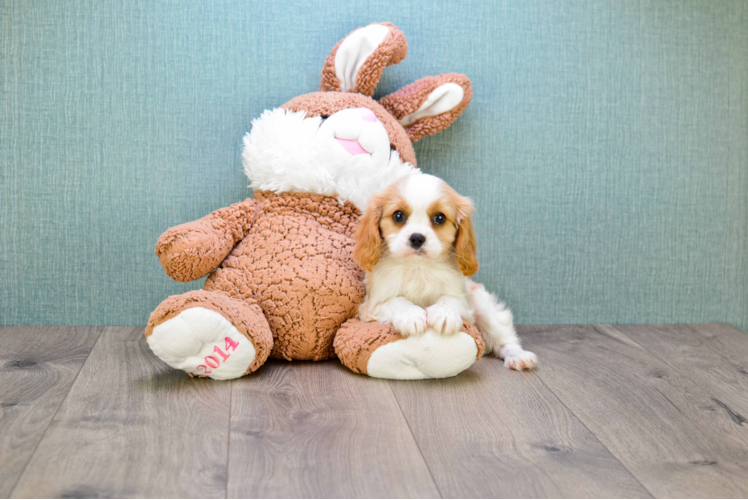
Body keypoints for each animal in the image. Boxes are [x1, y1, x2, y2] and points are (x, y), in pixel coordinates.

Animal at [352, 174, 536, 370]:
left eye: (439, 218)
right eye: (398, 216)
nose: (417, 238)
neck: (419, 267)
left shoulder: (465, 301)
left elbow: (450, 299)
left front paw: (444, 314)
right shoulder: (370, 306)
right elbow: (396, 301)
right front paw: (410, 315)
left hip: (483, 305)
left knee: (503, 336)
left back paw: (518, 356)